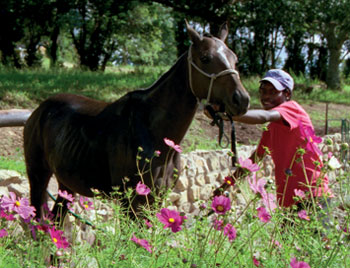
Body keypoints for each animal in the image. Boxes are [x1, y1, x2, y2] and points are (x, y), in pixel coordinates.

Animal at [23, 21, 250, 222]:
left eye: (234, 58)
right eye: (205, 58)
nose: (241, 99)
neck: (152, 131)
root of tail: (38, 111)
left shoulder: (157, 198)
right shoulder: (131, 200)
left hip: (67, 185)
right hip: (38, 176)